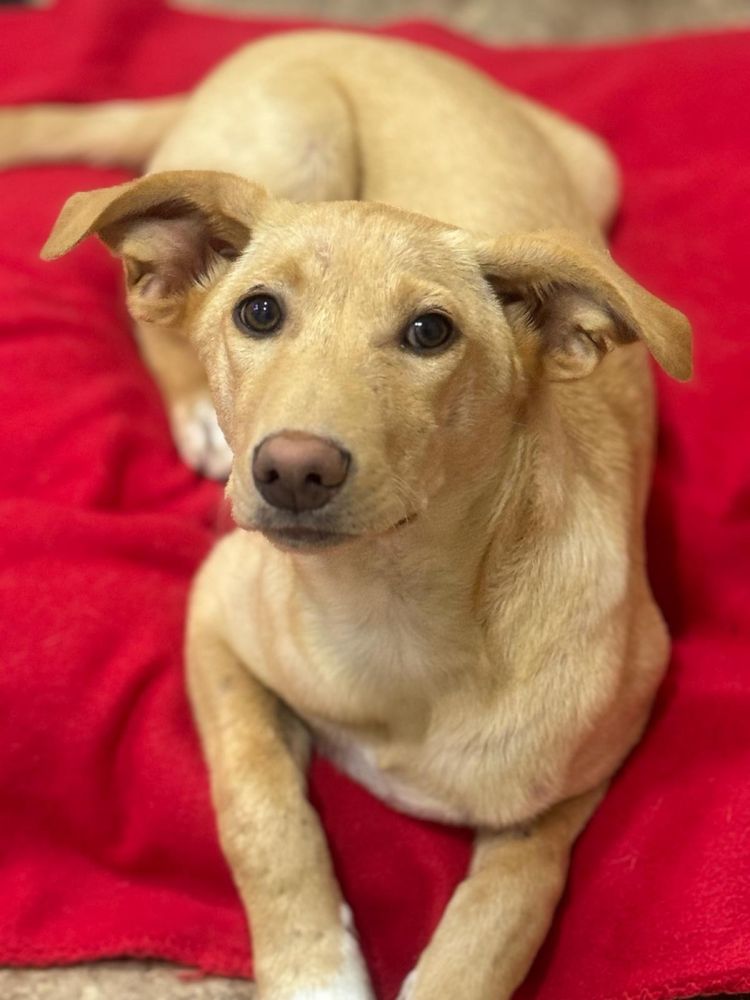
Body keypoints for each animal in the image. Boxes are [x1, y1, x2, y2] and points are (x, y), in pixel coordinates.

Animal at [1, 29, 692, 1000]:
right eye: (258, 311)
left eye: (431, 332)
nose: (293, 469)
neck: (388, 607)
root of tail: (342, 33)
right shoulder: (216, 618)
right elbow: (260, 814)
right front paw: (314, 970)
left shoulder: (562, 797)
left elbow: (498, 924)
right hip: (289, 138)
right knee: (144, 312)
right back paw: (193, 410)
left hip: (593, 169)